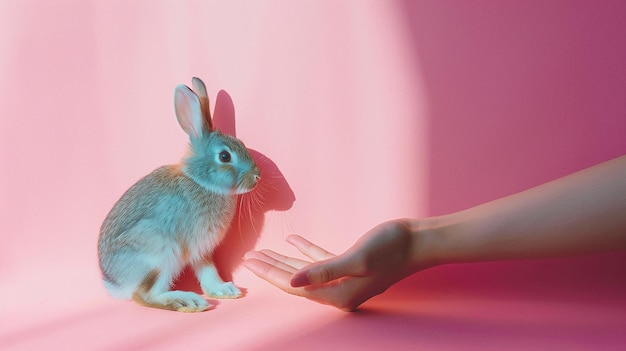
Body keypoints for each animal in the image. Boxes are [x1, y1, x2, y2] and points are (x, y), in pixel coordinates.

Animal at [97, 77, 258, 314]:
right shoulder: (193, 242)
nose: (257, 176)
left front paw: (224, 290)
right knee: (143, 295)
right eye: (224, 156)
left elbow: (208, 271)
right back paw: (188, 302)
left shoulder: (202, 250)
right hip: (157, 253)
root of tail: (115, 285)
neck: (201, 182)